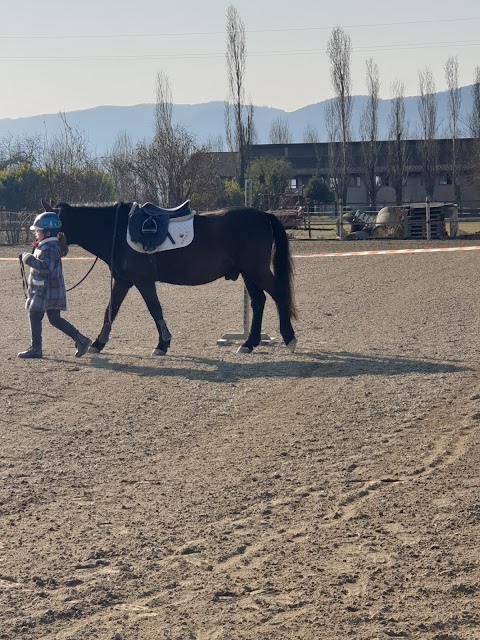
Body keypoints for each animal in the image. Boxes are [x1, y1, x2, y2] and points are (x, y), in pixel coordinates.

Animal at [42, 200, 296, 356]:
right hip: (248, 273)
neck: (118, 231)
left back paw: (289, 338)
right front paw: (98, 343)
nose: (39, 245)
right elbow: (110, 311)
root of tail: (263, 215)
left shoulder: (143, 281)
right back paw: (249, 343)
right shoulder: (123, 281)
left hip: (256, 270)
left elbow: (155, 309)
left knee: (278, 294)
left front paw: (162, 345)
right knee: (258, 301)